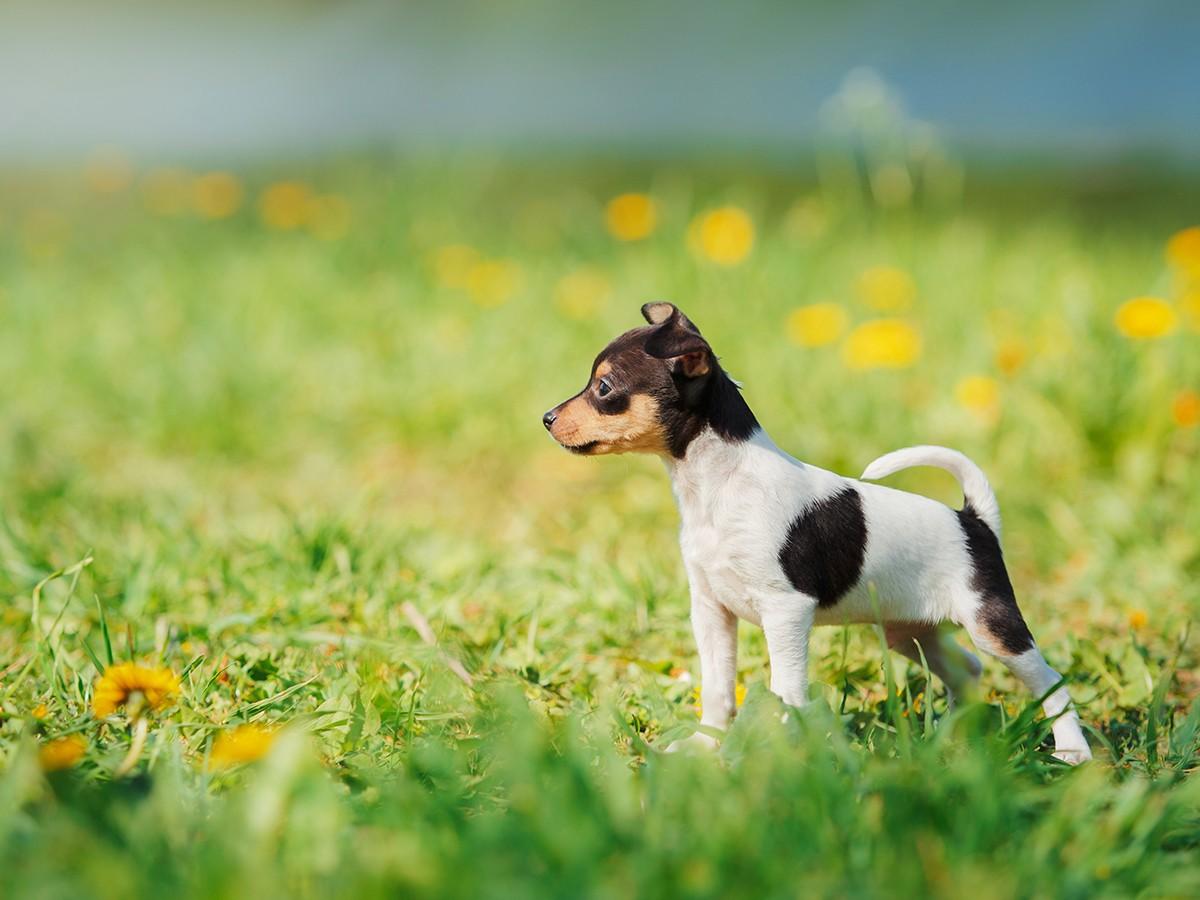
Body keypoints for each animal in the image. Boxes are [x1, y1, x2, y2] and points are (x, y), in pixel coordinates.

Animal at [549, 301, 1094, 763]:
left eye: (604, 388)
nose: (547, 418)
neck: (719, 484)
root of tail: (973, 519)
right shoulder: (710, 609)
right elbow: (717, 688)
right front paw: (706, 747)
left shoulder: (785, 612)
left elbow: (786, 691)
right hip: (909, 632)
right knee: (967, 670)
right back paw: (955, 739)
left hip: (992, 626)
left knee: (1049, 679)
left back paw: (1072, 750)